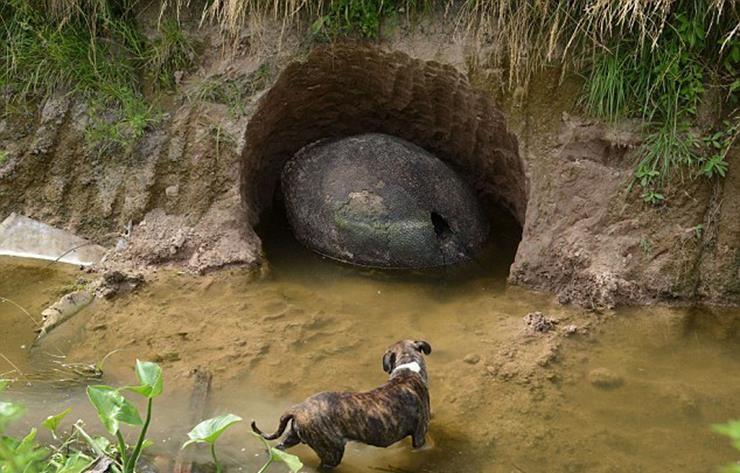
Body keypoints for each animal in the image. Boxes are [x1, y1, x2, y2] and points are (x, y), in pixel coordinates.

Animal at [251, 340, 430, 468]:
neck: (407, 369)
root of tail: (299, 408)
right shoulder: (420, 436)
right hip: (332, 453)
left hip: (292, 438)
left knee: (277, 449)